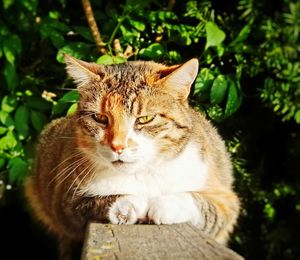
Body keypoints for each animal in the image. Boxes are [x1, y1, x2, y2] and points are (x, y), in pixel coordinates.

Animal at [24, 53, 240, 258]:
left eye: (145, 119)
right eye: (100, 118)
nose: (118, 146)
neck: (143, 174)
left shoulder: (225, 197)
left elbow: (207, 208)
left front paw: (168, 204)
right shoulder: (64, 200)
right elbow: (88, 204)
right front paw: (129, 205)